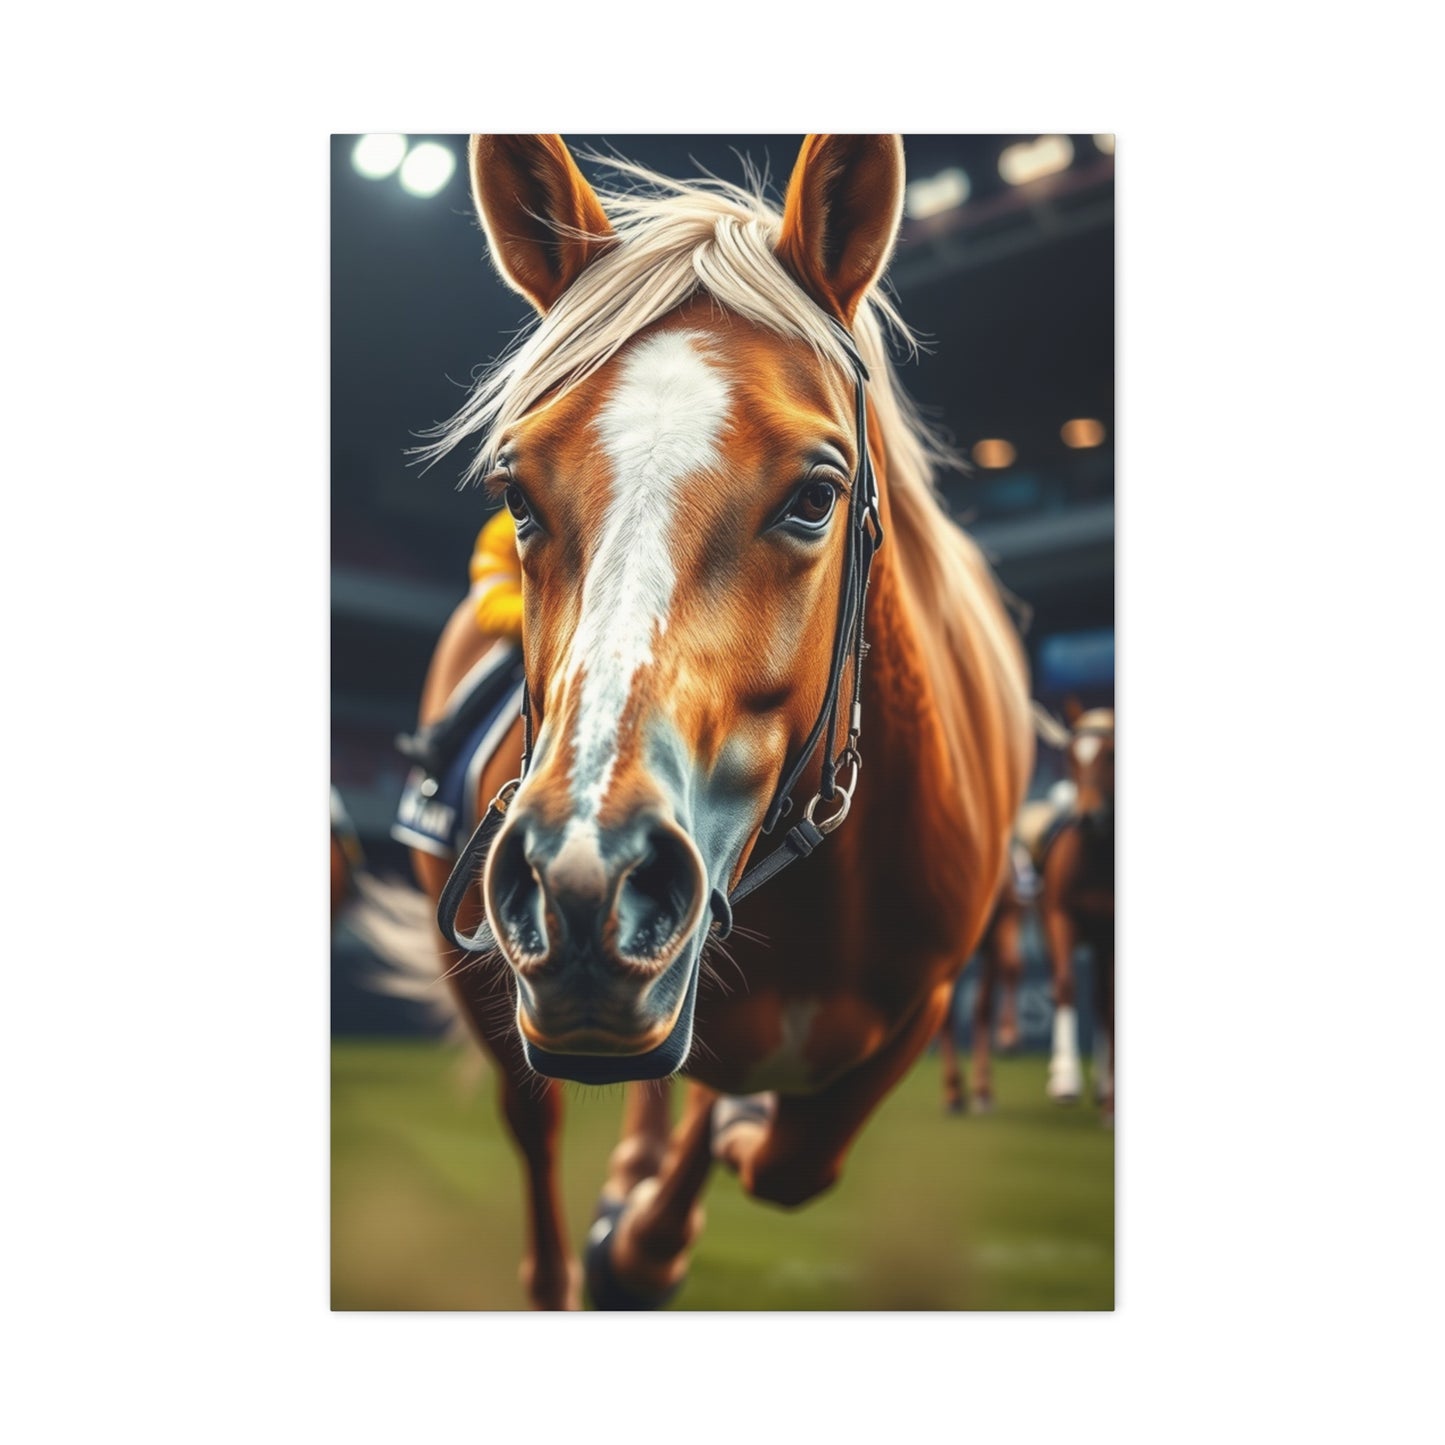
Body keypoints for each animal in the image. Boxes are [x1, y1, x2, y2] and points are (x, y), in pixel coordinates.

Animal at [394, 134, 1034, 1309]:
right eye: (518, 495)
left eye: (816, 496)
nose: (582, 878)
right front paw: (645, 1215)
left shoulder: (922, 1000)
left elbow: (789, 1153)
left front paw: (712, 1151)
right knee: (538, 1136)